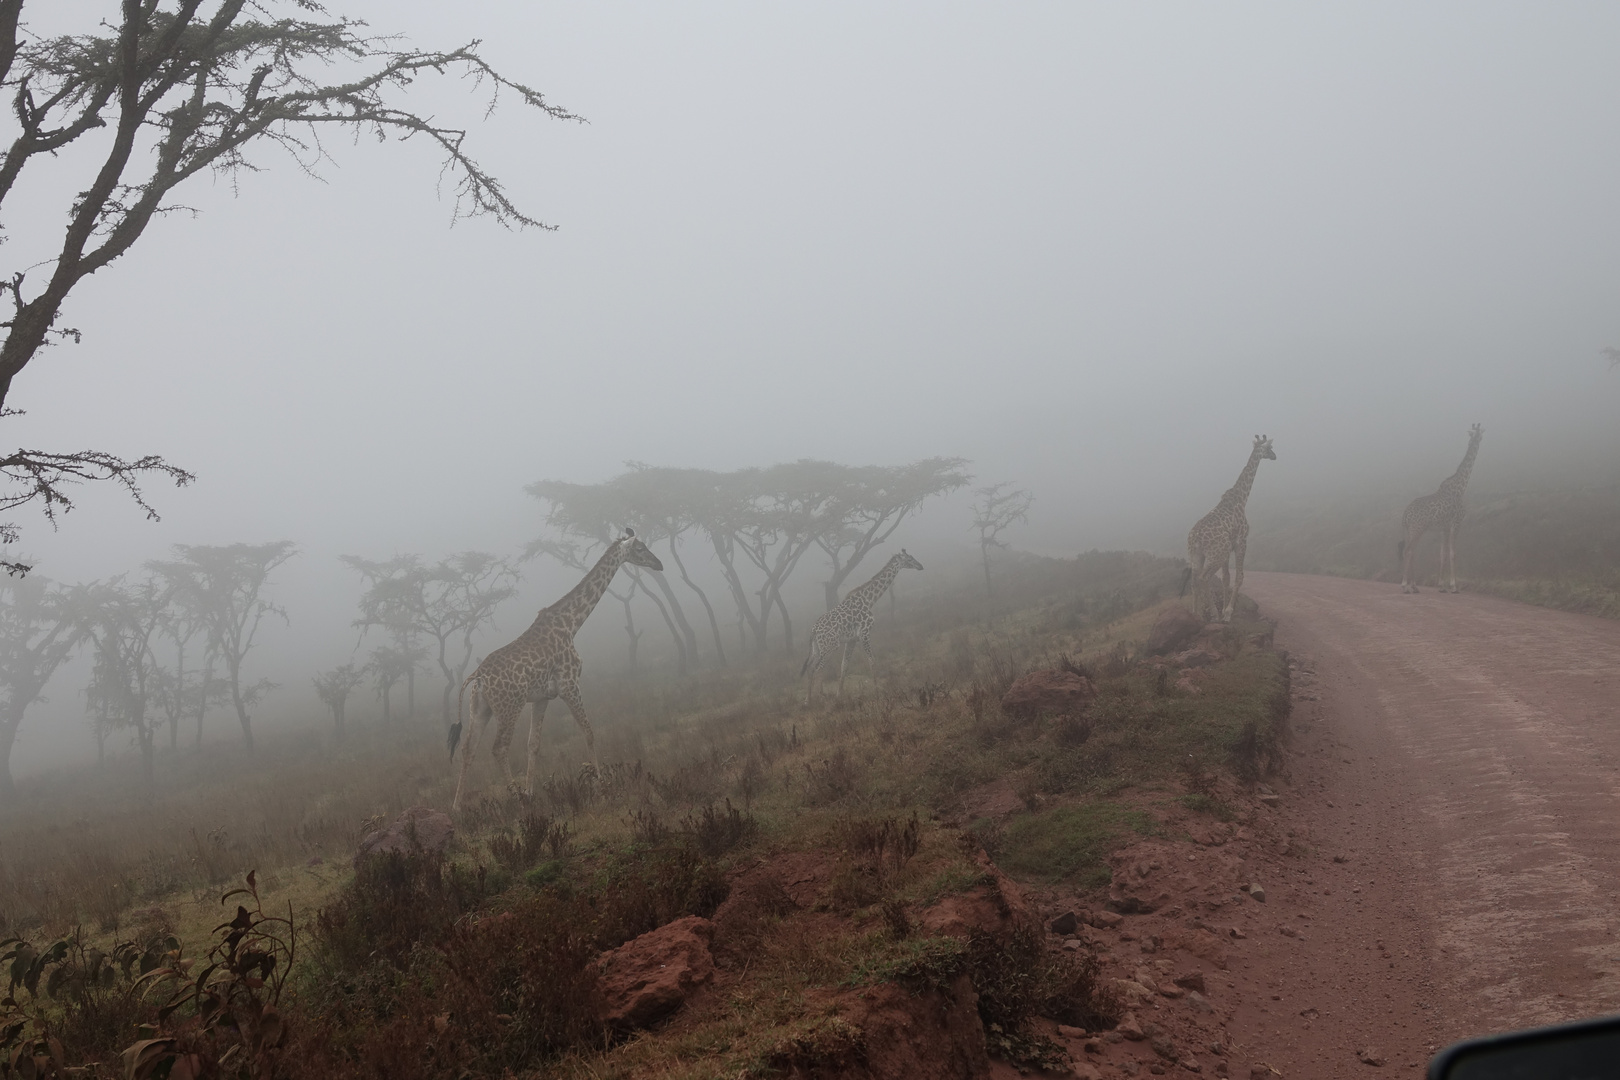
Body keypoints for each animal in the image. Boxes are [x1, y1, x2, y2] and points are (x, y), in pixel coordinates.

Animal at [447, 527, 660, 816]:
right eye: (640, 548)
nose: (658, 564)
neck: (571, 623)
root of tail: (477, 677)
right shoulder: (570, 685)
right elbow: (589, 731)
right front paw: (601, 783)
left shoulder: (542, 698)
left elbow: (533, 745)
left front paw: (531, 792)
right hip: (509, 707)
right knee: (498, 748)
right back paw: (515, 800)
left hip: (480, 709)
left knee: (468, 749)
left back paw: (458, 808)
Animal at [800, 550, 926, 709]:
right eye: (909, 559)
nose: (920, 566)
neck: (869, 600)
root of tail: (813, 630)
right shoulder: (865, 633)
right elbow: (872, 661)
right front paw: (878, 692)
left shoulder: (852, 639)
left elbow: (844, 666)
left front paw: (839, 696)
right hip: (830, 646)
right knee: (817, 668)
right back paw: (818, 699)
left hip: (817, 648)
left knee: (810, 668)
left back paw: (807, 701)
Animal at [1179, 433, 1276, 625]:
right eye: (1269, 448)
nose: (1275, 456)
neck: (1242, 498)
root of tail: (1195, 537)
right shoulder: (1241, 541)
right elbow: (1239, 577)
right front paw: (1227, 613)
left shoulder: (1230, 546)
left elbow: (1226, 579)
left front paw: (1224, 610)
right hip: (1217, 553)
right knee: (1203, 578)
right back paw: (1213, 614)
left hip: (1196, 555)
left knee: (1194, 581)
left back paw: (1195, 614)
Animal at [1399, 424, 1483, 595]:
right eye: (1481, 435)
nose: (1481, 439)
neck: (1460, 488)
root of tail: (1405, 515)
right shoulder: (1456, 524)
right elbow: (1452, 553)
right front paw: (1454, 587)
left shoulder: (1443, 528)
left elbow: (1442, 555)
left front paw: (1441, 586)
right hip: (1417, 529)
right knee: (1408, 551)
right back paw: (1405, 585)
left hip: (1409, 530)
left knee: (1411, 552)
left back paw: (1414, 586)